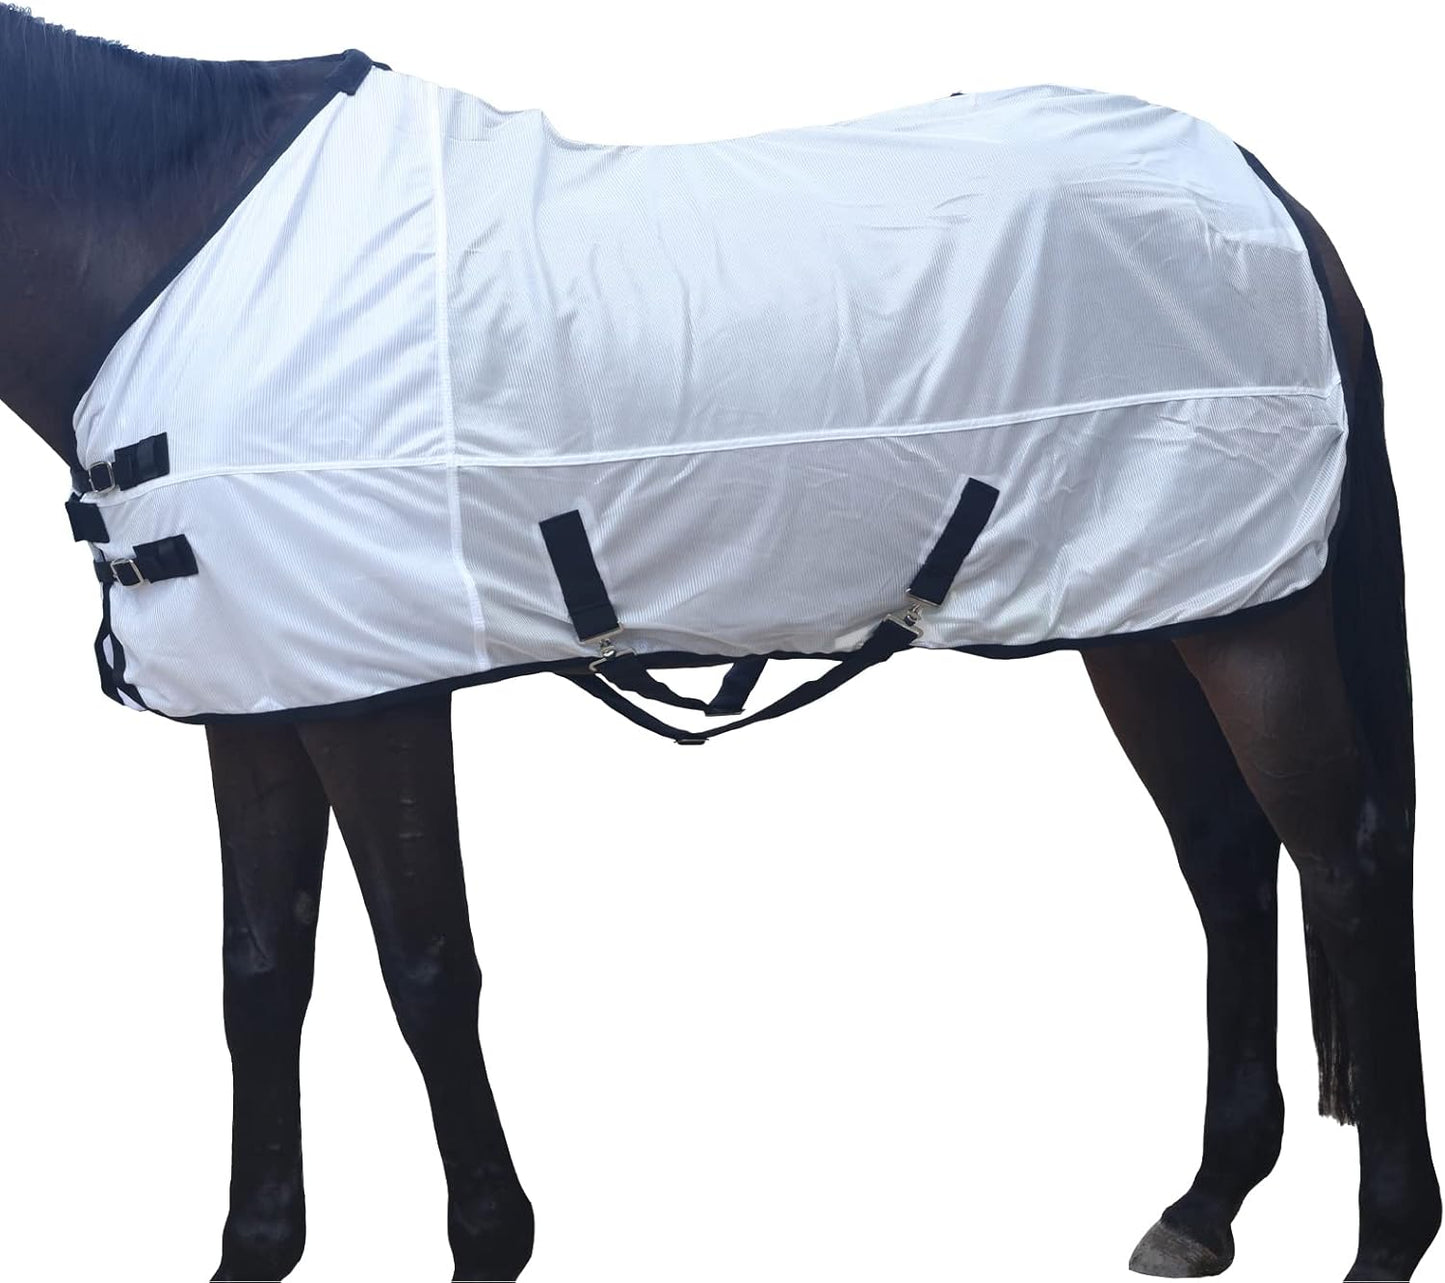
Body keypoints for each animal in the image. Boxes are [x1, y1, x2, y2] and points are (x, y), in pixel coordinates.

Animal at [0, 7, 1438, 1281]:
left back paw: (1383, 1237)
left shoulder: (373, 701)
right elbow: (260, 975)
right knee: (1227, 857)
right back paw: (1204, 1203)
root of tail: (1263, 193)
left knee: (1345, 864)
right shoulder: (261, 696)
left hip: (1255, 624)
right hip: (1148, 613)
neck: (172, 255)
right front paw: (255, 1248)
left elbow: (425, 967)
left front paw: (488, 1241)